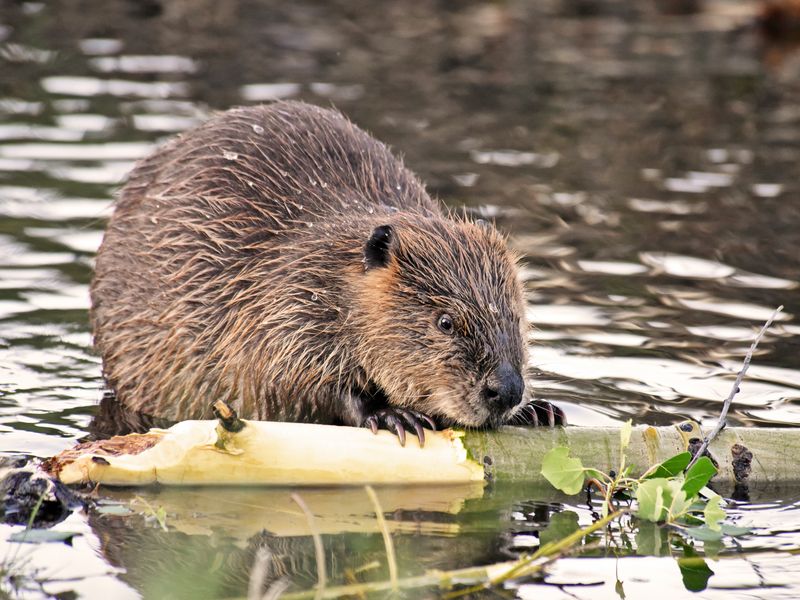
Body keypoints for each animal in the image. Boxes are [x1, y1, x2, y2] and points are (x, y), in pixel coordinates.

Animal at [90, 99, 564, 446]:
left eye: (516, 317)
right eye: (445, 322)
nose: (506, 390)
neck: (333, 270)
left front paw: (539, 410)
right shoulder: (280, 306)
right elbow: (285, 381)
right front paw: (394, 415)